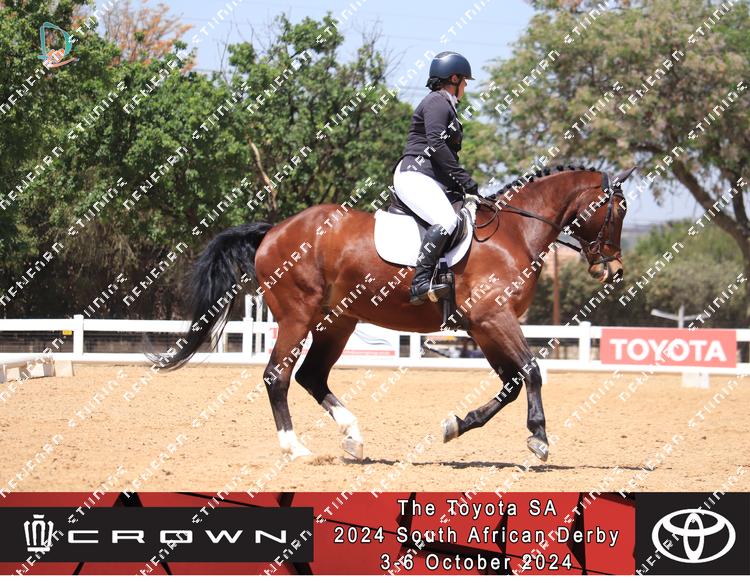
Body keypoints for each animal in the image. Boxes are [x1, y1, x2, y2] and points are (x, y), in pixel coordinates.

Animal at [152, 164, 635, 463]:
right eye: (619, 211)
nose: (612, 270)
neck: (515, 231)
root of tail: (273, 230)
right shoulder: (494, 318)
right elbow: (532, 372)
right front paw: (539, 440)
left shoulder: (483, 327)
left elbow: (513, 382)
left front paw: (457, 425)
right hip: (297, 316)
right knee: (278, 375)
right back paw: (296, 448)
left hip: (337, 321)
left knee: (311, 376)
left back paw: (352, 437)